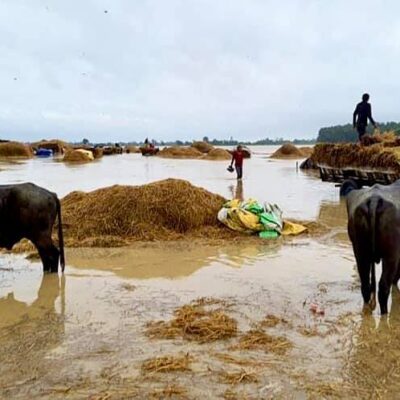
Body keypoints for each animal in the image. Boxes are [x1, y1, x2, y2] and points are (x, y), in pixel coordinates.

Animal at [346, 180, 400, 314]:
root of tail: (375, 198)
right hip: (391, 255)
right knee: (383, 287)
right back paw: (384, 313)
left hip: (360, 252)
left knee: (366, 284)